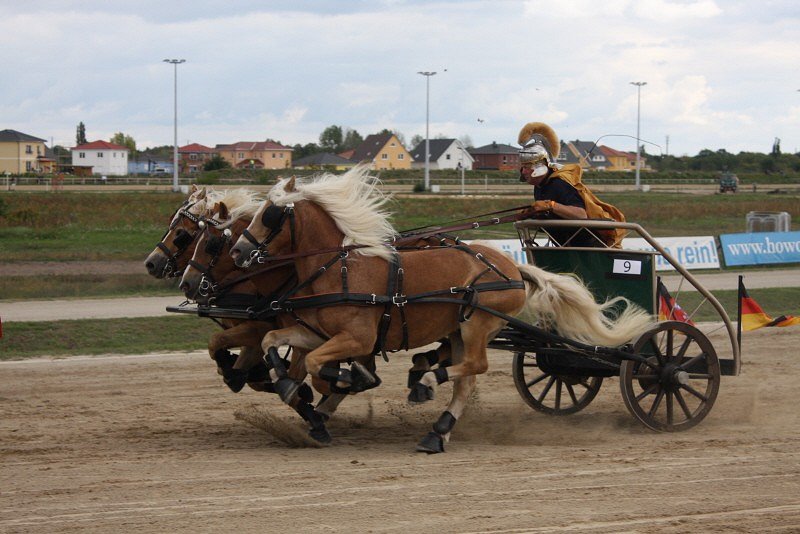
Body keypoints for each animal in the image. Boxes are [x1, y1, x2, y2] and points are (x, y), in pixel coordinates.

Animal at [228, 168, 652, 452]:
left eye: (269, 215)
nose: (238, 251)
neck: (340, 269)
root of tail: (514, 268)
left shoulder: (357, 338)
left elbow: (319, 367)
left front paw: (345, 380)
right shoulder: (319, 333)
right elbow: (271, 340)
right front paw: (292, 385)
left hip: (478, 323)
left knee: (475, 367)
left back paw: (428, 385)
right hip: (458, 329)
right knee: (465, 378)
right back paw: (437, 426)